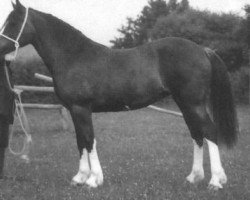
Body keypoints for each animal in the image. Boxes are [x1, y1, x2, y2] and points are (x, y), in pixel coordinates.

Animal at [0, 0, 238, 190]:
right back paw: (193, 177)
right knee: (197, 134)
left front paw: (93, 180)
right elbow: (79, 141)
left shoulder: (81, 109)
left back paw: (215, 182)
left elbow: (89, 140)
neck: (73, 56)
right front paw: (79, 178)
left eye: (13, 22)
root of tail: (202, 50)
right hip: (185, 104)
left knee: (209, 132)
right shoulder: (75, 110)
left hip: (193, 103)